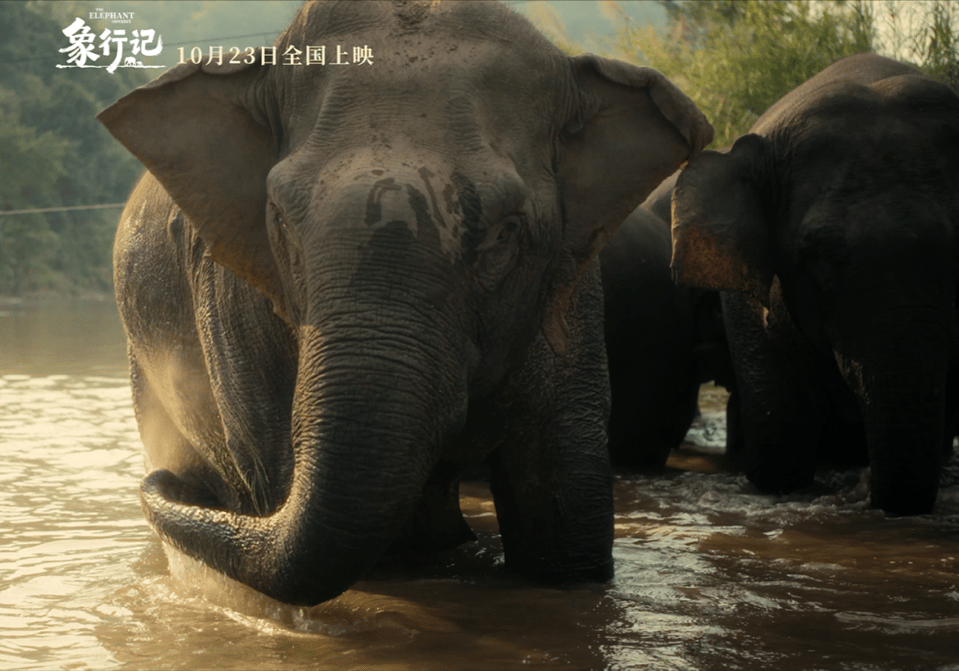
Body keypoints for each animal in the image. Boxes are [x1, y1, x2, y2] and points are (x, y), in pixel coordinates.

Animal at [97, 0, 712, 606]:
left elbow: (567, 532)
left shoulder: (569, 292)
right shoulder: (232, 298)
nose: (169, 483)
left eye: (505, 234)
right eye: (283, 222)